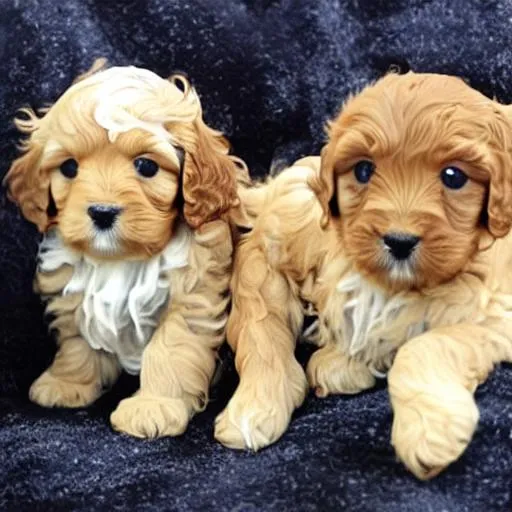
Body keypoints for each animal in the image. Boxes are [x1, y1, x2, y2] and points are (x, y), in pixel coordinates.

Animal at [4, 59, 248, 436]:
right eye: (69, 167)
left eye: (146, 166)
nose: (102, 212)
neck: (122, 258)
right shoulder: (74, 292)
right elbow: (77, 342)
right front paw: (67, 383)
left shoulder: (192, 298)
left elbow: (169, 350)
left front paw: (152, 407)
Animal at [215, 72, 512, 480]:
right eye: (363, 171)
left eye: (453, 176)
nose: (399, 241)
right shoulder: (279, 241)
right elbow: (261, 327)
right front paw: (254, 408)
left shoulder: (493, 311)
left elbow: (424, 345)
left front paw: (428, 432)